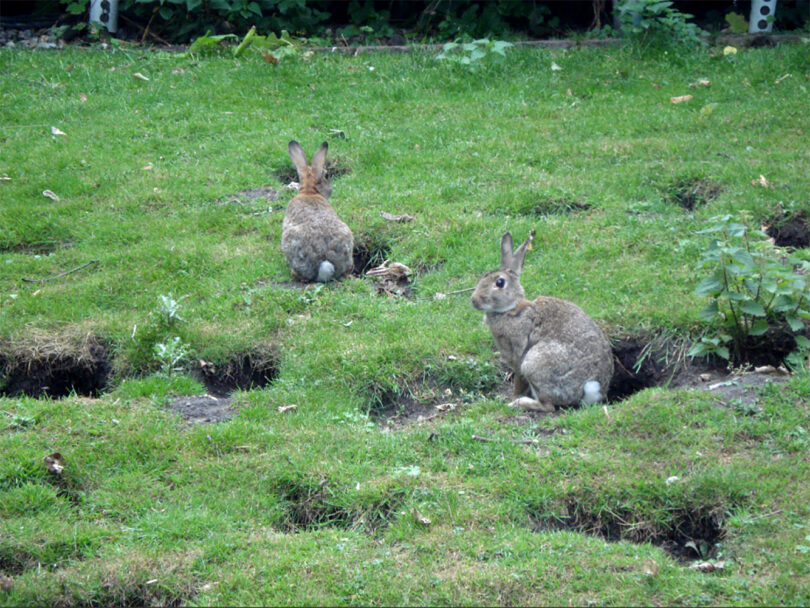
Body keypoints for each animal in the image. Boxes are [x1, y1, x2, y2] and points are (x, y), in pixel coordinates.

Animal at [468, 230, 612, 410]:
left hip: (535, 364)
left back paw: (519, 402)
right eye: (482, 278)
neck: (511, 310)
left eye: (499, 282)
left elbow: (518, 378)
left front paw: (514, 396)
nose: (474, 300)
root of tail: (590, 389)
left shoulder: (518, 354)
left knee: (548, 406)